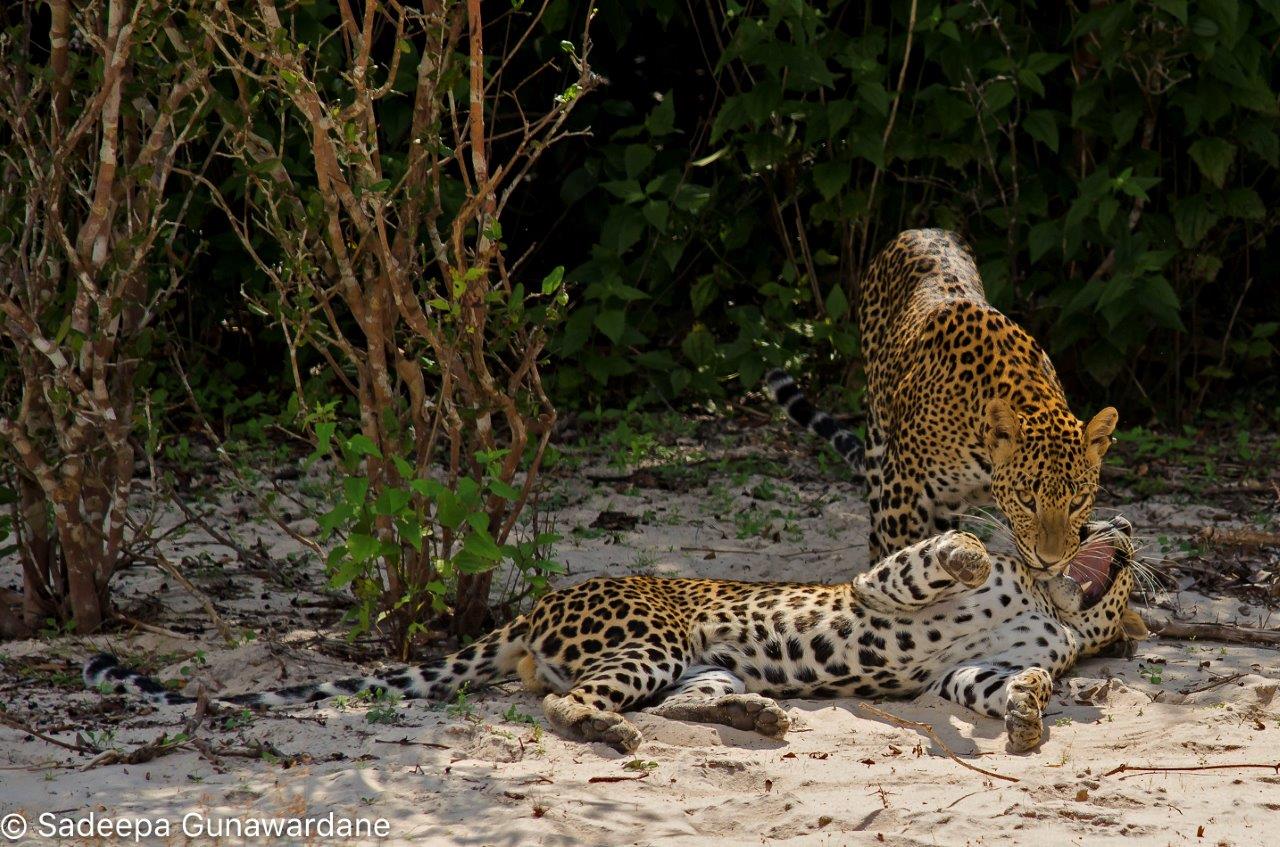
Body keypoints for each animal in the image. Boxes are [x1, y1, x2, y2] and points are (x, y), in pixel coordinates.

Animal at [768, 229, 1121, 580]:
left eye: (1078, 501)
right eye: (1026, 499)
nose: (1050, 560)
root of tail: (919, 231)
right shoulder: (901, 487)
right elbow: (900, 554)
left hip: (944, 504)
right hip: (878, 446)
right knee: (875, 532)